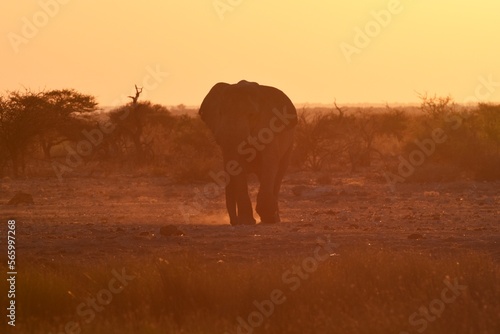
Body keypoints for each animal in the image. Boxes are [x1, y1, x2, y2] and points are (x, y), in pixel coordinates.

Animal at [199, 80, 296, 224]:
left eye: (251, 115)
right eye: (220, 113)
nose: (234, 222)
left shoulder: (269, 128)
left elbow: (270, 160)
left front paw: (267, 216)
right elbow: (238, 167)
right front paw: (247, 221)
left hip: (290, 144)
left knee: (279, 173)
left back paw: (274, 218)